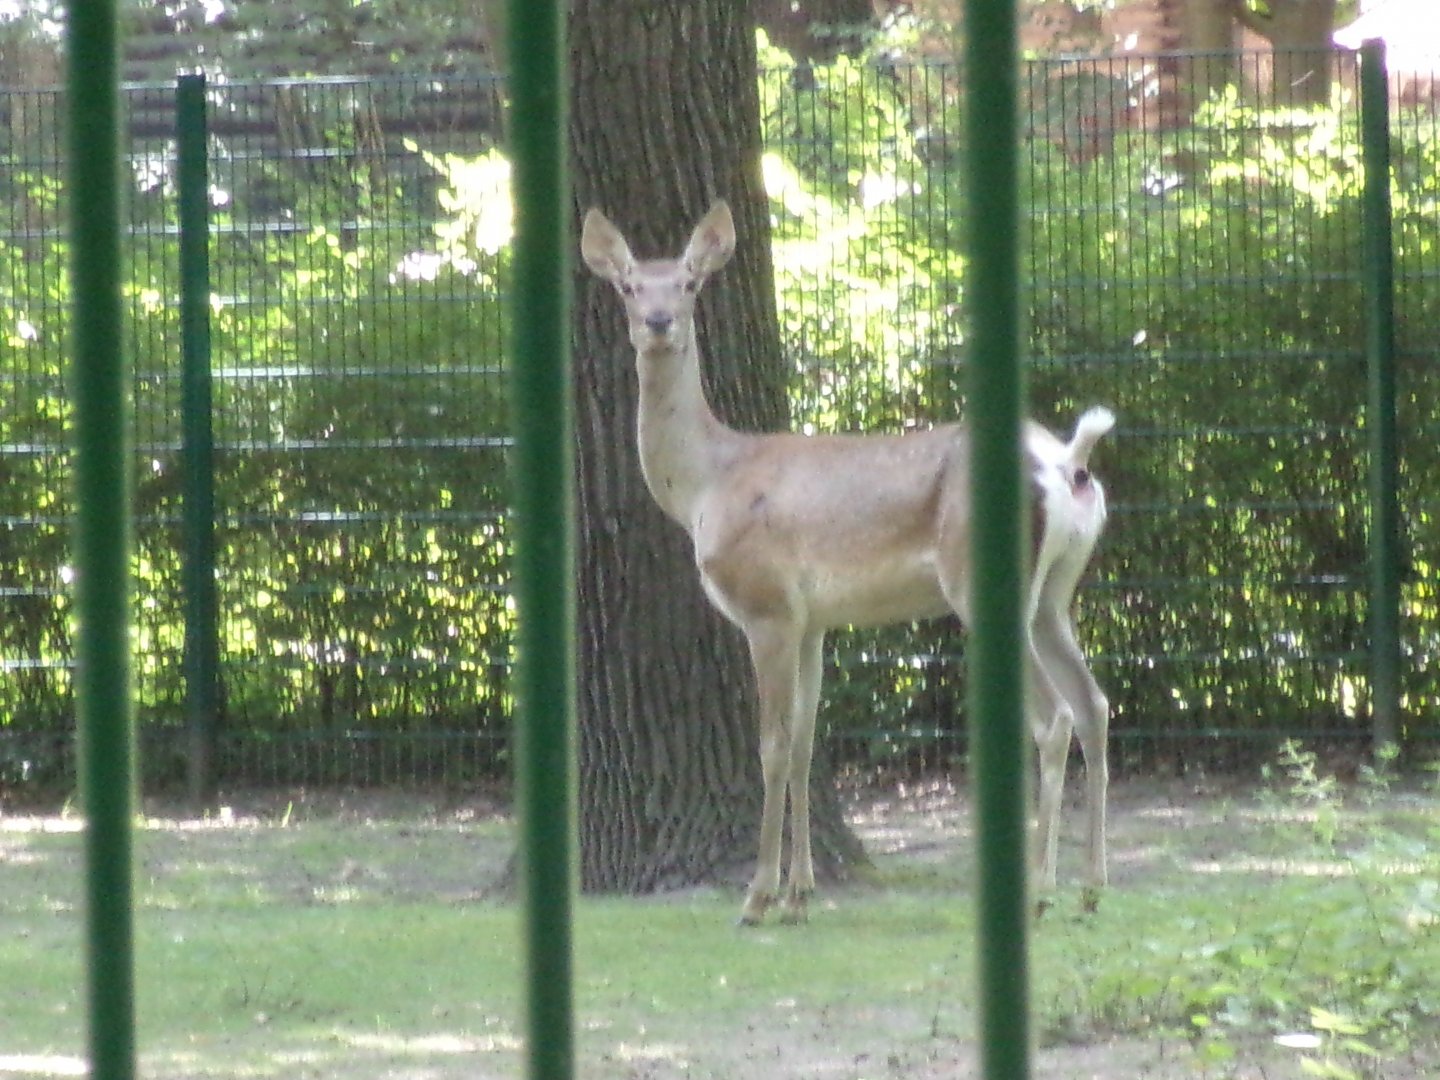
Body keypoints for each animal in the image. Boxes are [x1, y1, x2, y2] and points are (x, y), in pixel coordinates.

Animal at [581, 199, 1114, 926]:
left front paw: (758, 898)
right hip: (1055, 592)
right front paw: (801, 895)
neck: (707, 486)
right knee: (1094, 704)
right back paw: (1091, 888)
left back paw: (1041, 892)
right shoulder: (813, 621)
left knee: (1053, 716)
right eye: (631, 286)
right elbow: (808, 743)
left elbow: (772, 746)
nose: (659, 323)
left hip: (980, 583)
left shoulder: (767, 605)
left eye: (689, 283)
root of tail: (1066, 464)